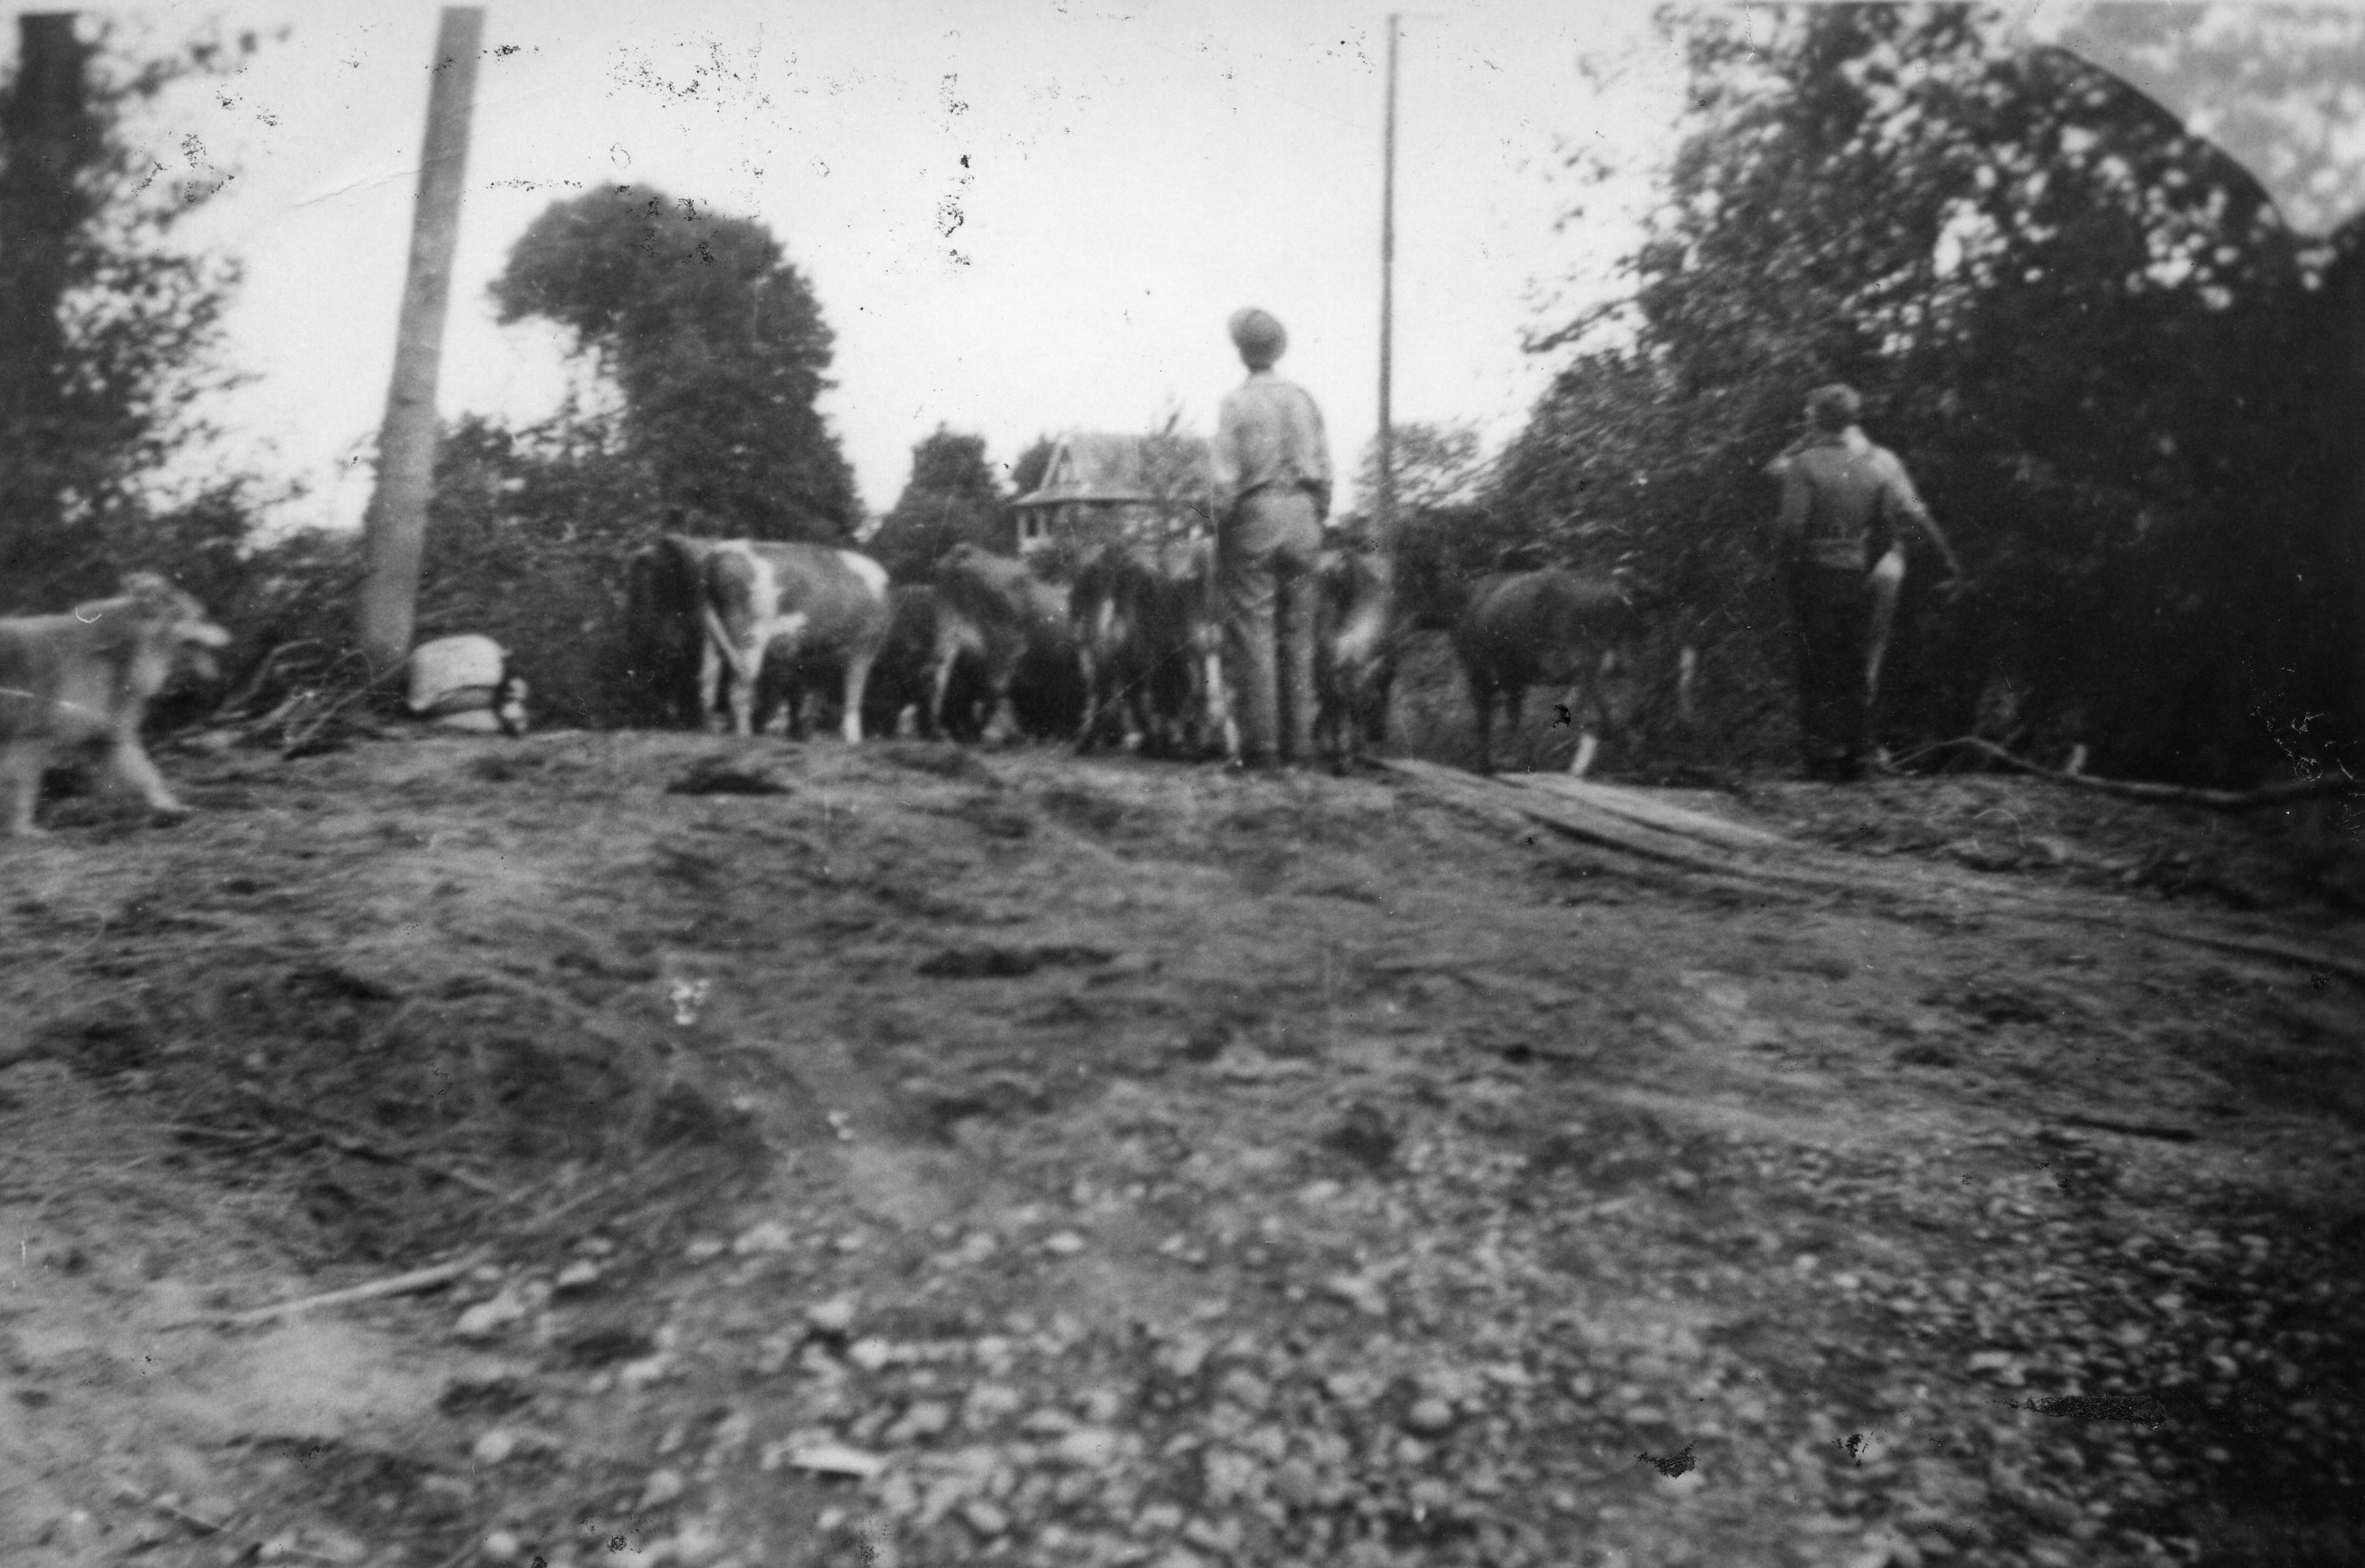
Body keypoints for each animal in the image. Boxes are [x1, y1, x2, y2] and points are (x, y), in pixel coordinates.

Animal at [1, 574, 229, 842]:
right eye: (201, 617)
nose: (231, 637)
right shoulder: (30, 742)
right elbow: (22, 790)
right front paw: (23, 829)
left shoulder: (107, 737)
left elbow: (147, 775)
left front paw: (169, 807)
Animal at [700, 539, 894, 742]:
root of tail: (718, 553)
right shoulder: (864, 646)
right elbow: (853, 696)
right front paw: (854, 740)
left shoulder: (820, 659)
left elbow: (812, 701)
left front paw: (807, 736)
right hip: (748, 637)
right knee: (739, 690)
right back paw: (745, 736)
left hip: (712, 636)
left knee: (708, 685)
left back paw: (710, 734)